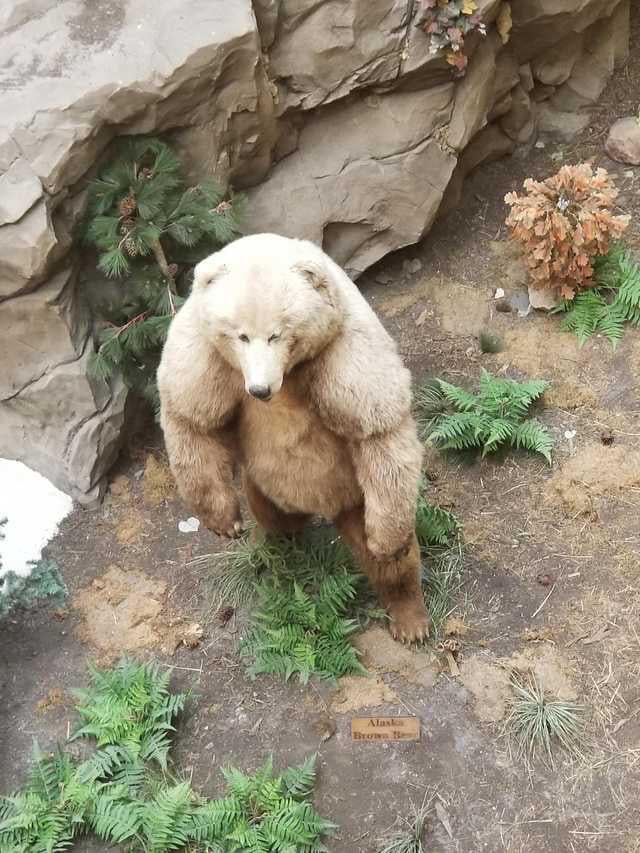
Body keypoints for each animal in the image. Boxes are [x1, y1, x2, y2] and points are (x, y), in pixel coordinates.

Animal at [157, 233, 429, 643]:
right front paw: (225, 522)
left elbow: (377, 430)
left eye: (277, 333)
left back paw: (409, 617)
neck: (290, 373)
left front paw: (387, 545)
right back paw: (269, 547)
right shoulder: (205, 357)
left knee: (387, 554)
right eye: (239, 334)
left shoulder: (343, 353)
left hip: (355, 494)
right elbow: (191, 419)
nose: (259, 389)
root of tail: (322, 506)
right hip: (264, 484)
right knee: (272, 517)